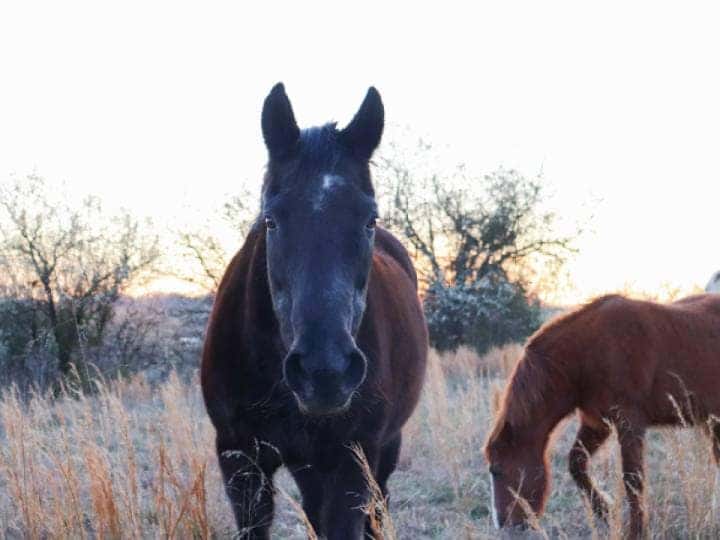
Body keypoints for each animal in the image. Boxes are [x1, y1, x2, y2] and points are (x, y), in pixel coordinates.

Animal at [201, 83, 428, 539]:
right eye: (271, 219)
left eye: (369, 219)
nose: (326, 371)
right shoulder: (239, 460)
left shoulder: (352, 461)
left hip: (381, 451)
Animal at [485, 293, 720, 538]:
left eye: (497, 470)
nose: (505, 525)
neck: (588, 353)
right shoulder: (597, 423)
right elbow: (577, 464)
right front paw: (606, 512)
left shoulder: (630, 424)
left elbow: (633, 479)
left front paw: (636, 531)